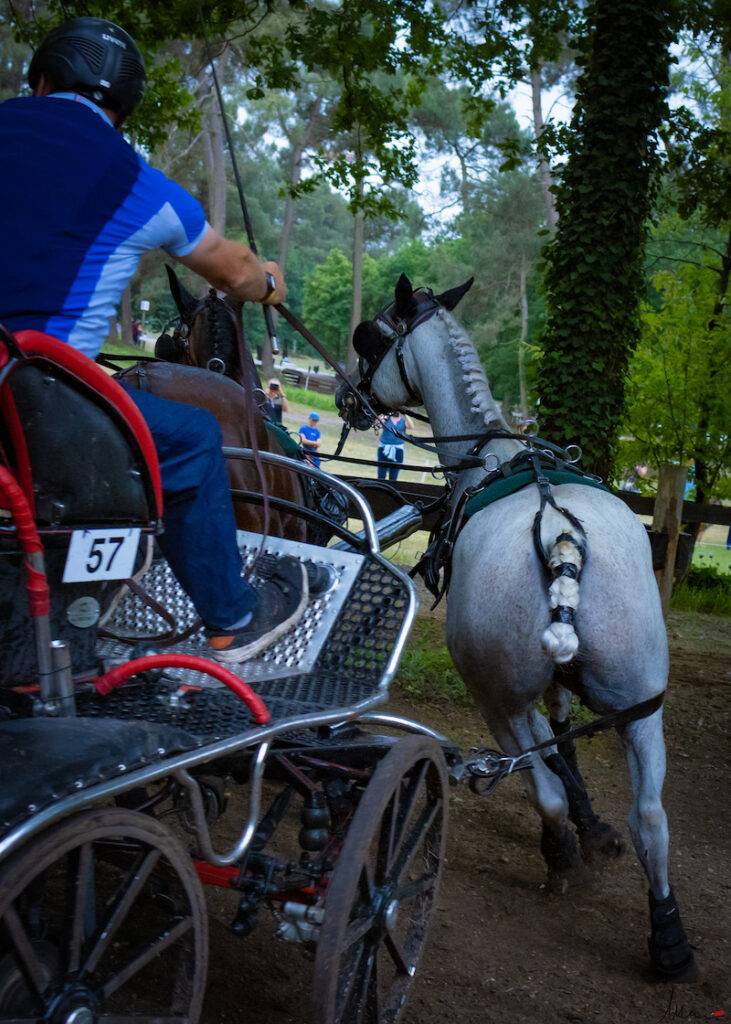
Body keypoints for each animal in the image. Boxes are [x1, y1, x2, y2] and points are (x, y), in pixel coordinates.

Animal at [336, 272, 696, 983]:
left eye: (371, 338)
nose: (346, 394)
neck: (493, 456)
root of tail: (560, 535)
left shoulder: (514, 690)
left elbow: (553, 754)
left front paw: (580, 830)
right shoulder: (558, 683)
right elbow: (563, 733)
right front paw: (595, 826)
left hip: (493, 692)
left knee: (539, 780)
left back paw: (561, 854)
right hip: (642, 702)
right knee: (650, 816)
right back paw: (667, 938)